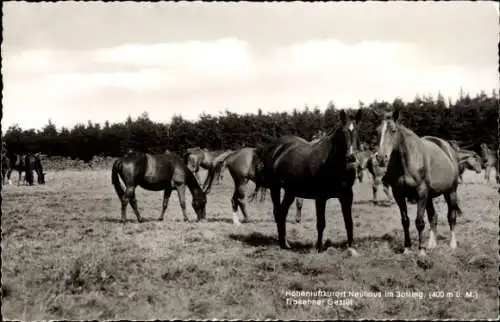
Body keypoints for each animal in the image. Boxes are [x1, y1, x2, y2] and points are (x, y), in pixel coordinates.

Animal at [256, 109, 362, 254]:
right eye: (343, 132)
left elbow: (349, 222)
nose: (351, 157)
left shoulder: (347, 196)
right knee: (278, 212)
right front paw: (319, 247)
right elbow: (321, 223)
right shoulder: (321, 197)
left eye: (357, 131)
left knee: (282, 212)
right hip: (275, 188)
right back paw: (282, 243)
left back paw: (285, 244)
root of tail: (275, 148)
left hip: (290, 191)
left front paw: (351, 246)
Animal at [378, 109, 460, 256]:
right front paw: (407, 248)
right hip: (429, 197)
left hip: (451, 191)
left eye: (393, 130)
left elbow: (419, 222)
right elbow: (405, 221)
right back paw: (431, 244)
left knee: (451, 216)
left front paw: (421, 251)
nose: (381, 158)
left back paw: (452, 244)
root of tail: (448, 148)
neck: (407, 161)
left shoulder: (421, 193)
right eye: (377, 131)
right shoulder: (398, 194)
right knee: (433, 216)